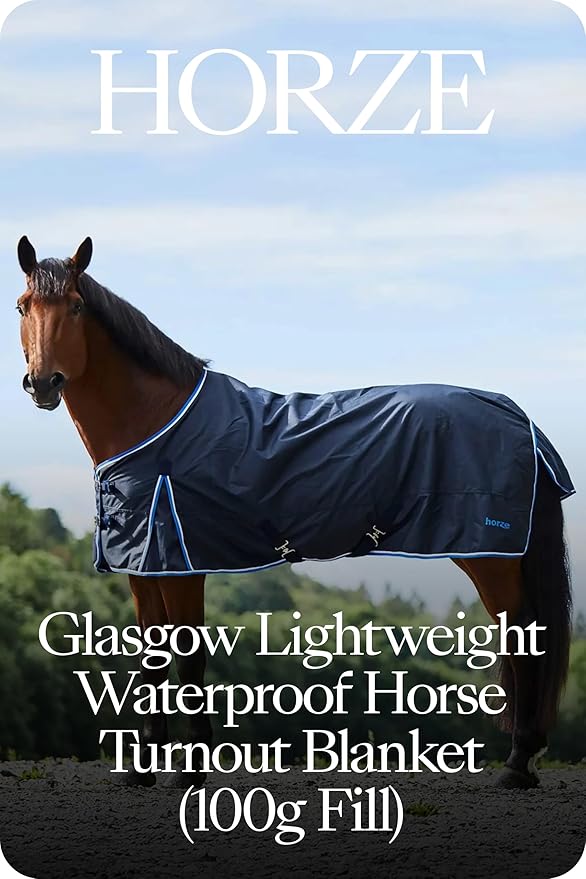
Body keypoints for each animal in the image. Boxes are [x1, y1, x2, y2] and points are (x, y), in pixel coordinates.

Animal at [15, 236, 574, 790]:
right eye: (23, 306)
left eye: (76, 306)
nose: (43, 383)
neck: (158, 422)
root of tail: (517, 415)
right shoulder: (143, 565)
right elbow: (151, 658)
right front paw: (142, 770)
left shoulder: (181, 564)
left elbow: (189, 658)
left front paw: (190, 771)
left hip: (490, 554)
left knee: (524, 639)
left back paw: (517, 764)